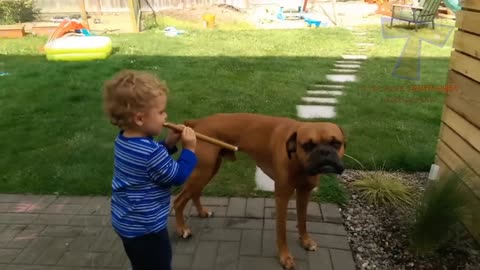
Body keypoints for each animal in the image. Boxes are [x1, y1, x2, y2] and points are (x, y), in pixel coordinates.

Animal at [172, 113, 344, 268]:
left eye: (336, 143)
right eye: (308, 145)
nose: (325, 152)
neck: (297, 159)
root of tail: (197, 122)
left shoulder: (304, 193)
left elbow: (302, 220)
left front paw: (306, 241)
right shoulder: (282, 197)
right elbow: (281, 230)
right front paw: (285, 256)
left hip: (208, 170)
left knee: (195, 192)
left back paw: (202, 213)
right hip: (202, 171)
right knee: (178, 201)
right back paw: (182, 229)